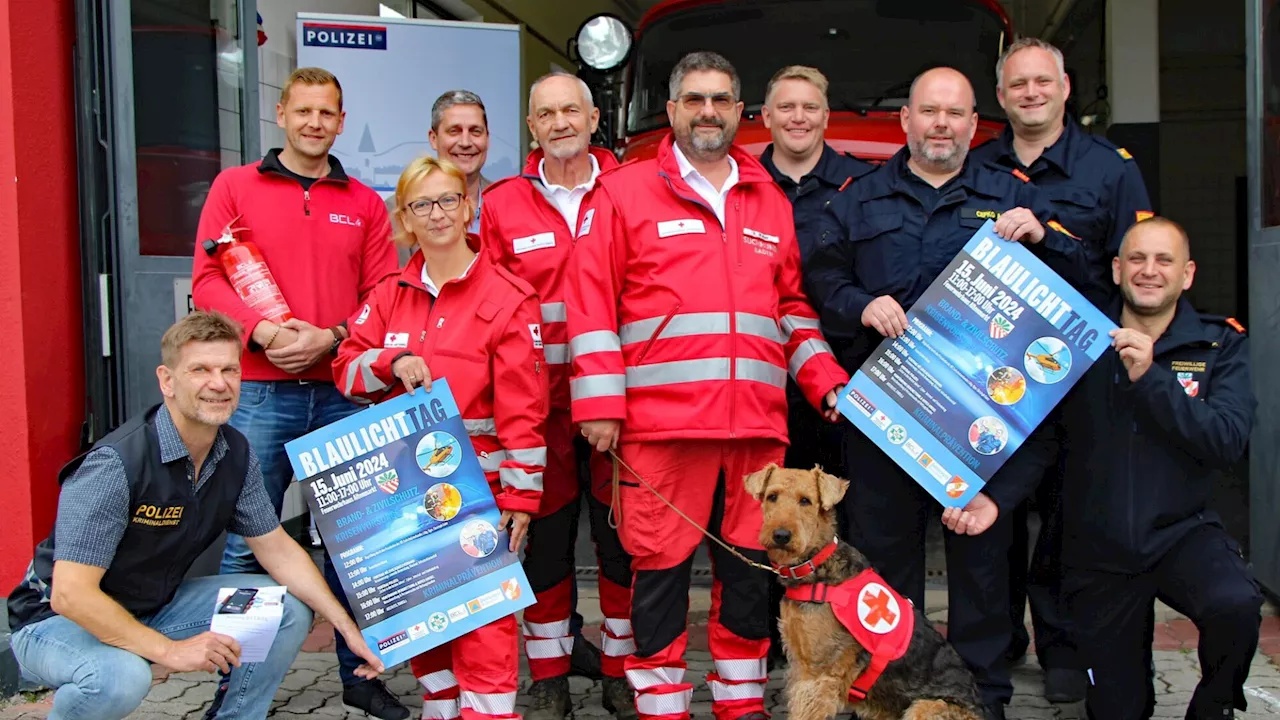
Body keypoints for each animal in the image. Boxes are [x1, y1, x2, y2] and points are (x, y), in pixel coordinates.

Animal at [747, 461, 983, 712]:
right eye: (772, 496)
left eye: (805, 501)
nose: (781, 535)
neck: (817, 562)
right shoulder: (799, 665)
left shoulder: (817, 674)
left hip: (924, 707)